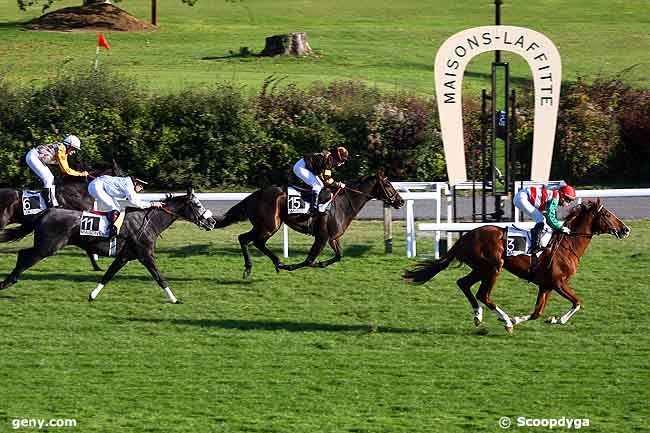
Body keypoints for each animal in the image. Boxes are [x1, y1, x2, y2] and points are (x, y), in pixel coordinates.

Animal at [0, 187, 218, 302]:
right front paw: (174, 299)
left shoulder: (125, 256)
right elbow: (158, 276)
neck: (147, 222)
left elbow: (108, 274)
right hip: (48, 246)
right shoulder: (145, 254)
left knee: (23, 254)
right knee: (24, 256)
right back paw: (6, 283)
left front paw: (92, 295)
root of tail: (47, 211)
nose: (212, 222)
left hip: (46, 246)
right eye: (197, 205)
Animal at [213, 172, 402, 276]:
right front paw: (293, 265)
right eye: (387, 184)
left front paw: (322, 263)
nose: (400, 201)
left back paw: (275, 263)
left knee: (251, 240)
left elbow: (339, 255)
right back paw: (258, 266)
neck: (342, 204)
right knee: (247, 239)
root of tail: (252, 196)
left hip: (265, 226)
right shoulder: (322, 237)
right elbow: (309, 260)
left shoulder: (333, 237)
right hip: (269, 226)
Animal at [404, 200, 628, 334]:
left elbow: (538, 312)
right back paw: (505, 321)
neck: (568, 244)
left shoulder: (546, 285)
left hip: (480, 268)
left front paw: (548, 319)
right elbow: (577, 302)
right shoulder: (558, 282)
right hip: (493, 267)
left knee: (463, 283)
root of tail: (466, 236)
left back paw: (478, 315)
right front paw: (556, 320)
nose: (625, 229)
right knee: (483, 294)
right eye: (607, 215)